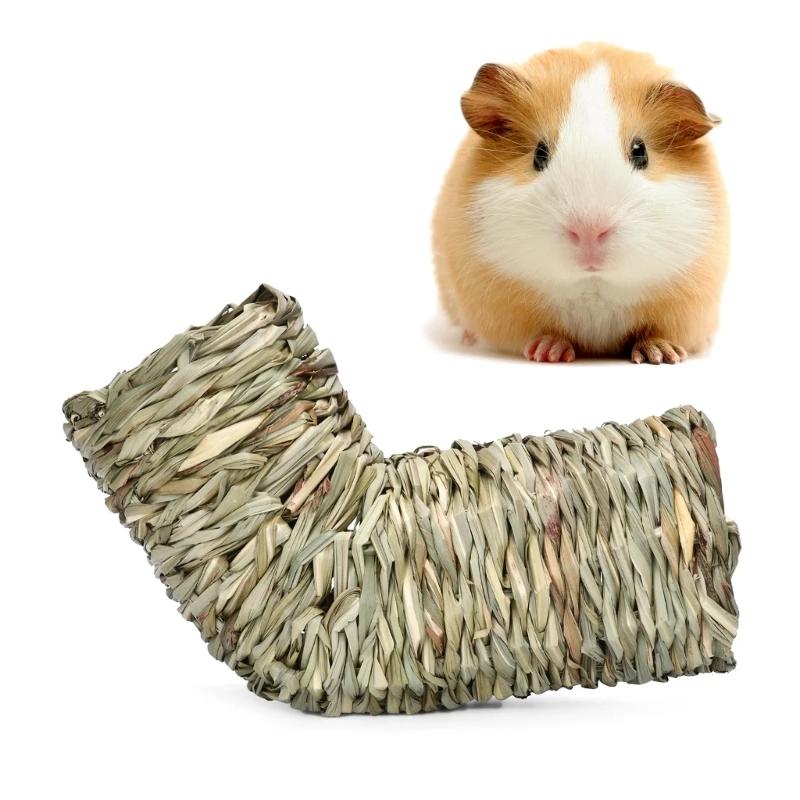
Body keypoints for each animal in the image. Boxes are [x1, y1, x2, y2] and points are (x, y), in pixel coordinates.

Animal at [432, 43, 729, 364]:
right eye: (539, 154)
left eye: (641, 152)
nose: (589, 232)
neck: (593, 285)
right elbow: (544, 333)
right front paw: (548, 352)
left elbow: (654, 332)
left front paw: (662, 355)